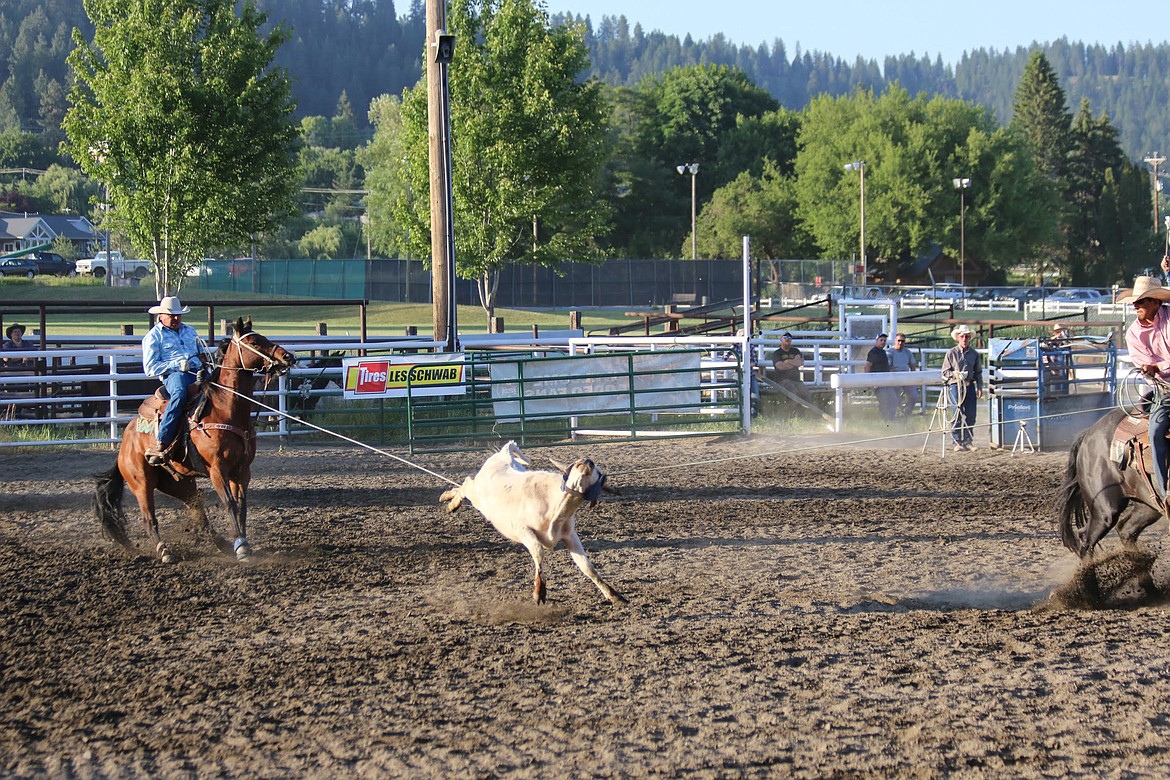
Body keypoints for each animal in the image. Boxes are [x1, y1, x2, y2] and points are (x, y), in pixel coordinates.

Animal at [95, 313, 297, 563]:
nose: (288, 357)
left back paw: (220, 543)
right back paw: (165, 551)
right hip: (141, 482)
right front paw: (240, 547)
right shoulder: (217, 470)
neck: (226, 410)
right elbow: (230, 504)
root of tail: (125, 442)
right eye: (254, 342)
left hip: (178, 482)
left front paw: (243, 543)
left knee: (197, 511)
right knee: (149, 518)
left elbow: (241, 506)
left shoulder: (242, 470)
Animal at [439, 442, 627, 608]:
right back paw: (450, 502)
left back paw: (448, 499)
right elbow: (538, 552)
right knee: (465, 483)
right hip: (477, 496)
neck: (556, 506)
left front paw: (614, 595)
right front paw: (539, 591)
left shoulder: (570, 536)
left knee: (462, 486)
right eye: (578, 464)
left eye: (598, 472)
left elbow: (588, 568)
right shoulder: (523, 530)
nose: (588, 461)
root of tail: (503, 454)